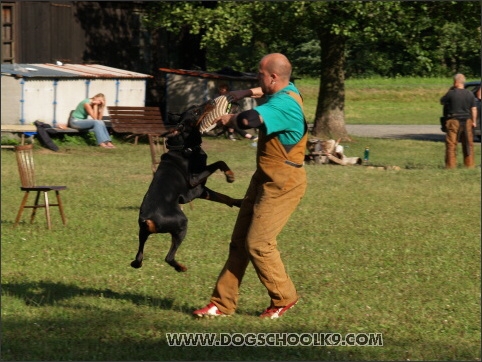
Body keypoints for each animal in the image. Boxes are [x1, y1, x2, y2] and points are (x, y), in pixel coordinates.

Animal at [130, 99, 243, 272]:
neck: (185, 147)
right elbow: (219, 162)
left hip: (143, 236)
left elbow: (223, 197)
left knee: (138, 258)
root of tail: (147, 219)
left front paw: (240, 202)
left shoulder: (200, 190)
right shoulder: (195, 181)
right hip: (182, 223)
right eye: (195, 111)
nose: (212, 100)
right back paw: (181, 267)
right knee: (169, 257)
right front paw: (229, 175)